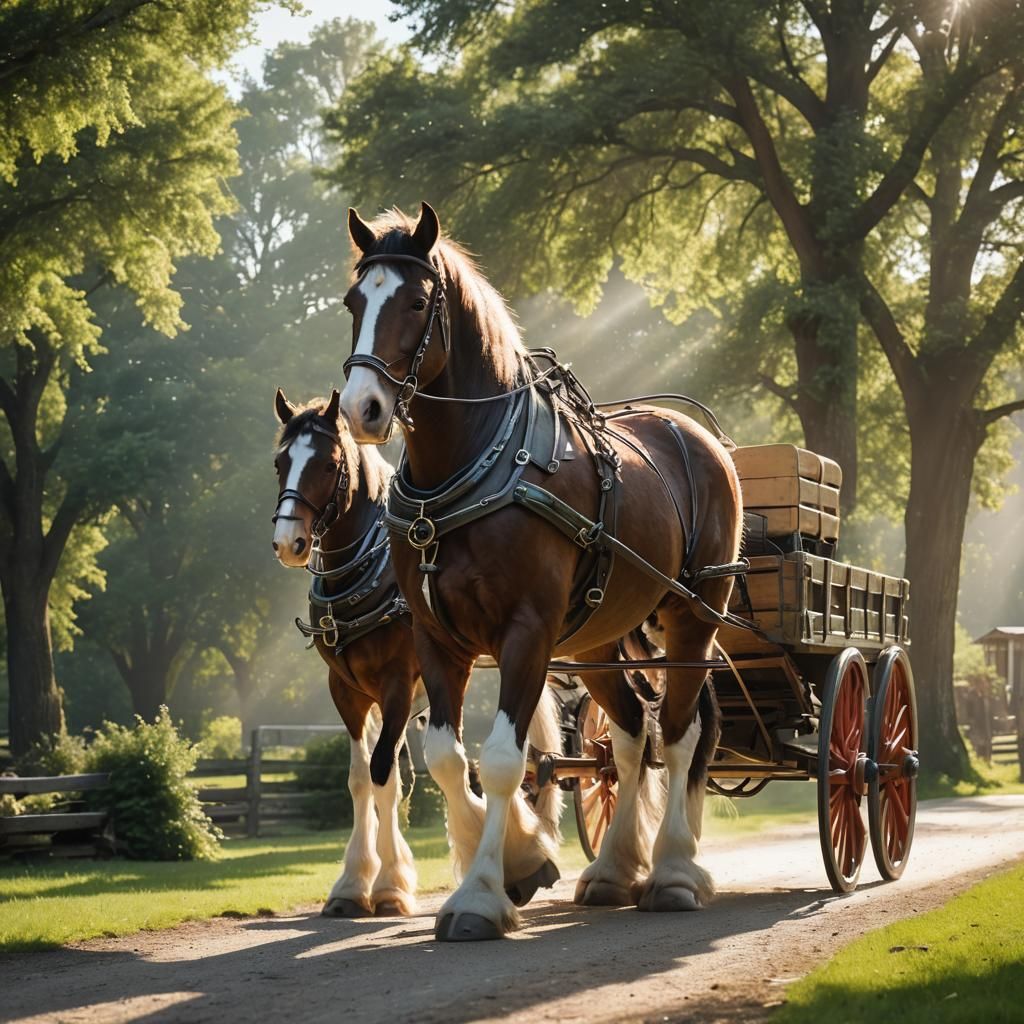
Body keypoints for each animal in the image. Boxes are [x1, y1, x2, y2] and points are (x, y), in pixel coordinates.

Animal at [271, 388, 564, 915]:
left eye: (327, 464)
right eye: (280, 463)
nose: (289, 542)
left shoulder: (397, 686)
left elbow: (385, 771)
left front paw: (388, 886)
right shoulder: (346, 692)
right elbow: (362, 778)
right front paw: (354, 884)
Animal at [339, 203, 741, 942]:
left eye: (416, 302)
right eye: (355, 300)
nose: (362, 409)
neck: (471, 470)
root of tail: (696, 434)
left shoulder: (526, 632)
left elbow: (502, 760)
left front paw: (480, 896)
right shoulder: (437, 640)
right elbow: (447, 759)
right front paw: (517, 863)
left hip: (694, 618)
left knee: (679, 735)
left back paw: (673, 870)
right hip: (594, 643)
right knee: (632, 736)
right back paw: (615, 869)